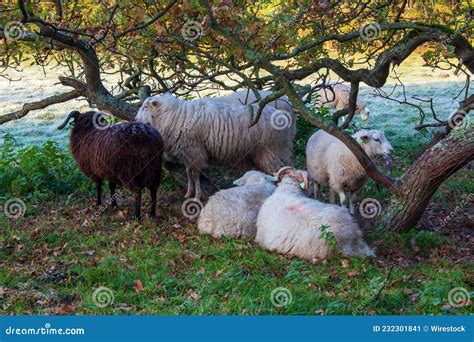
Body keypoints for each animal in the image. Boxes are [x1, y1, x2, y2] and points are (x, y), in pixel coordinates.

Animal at [135, 94, 294, 200]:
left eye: (145, 106)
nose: (135, 120)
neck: (176, 116)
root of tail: (283, 116)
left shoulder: (195, 152)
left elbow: (195, 175)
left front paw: (197, 195)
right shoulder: (187, 154)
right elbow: (188, 173)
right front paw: (189, 193)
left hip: (273, 151)